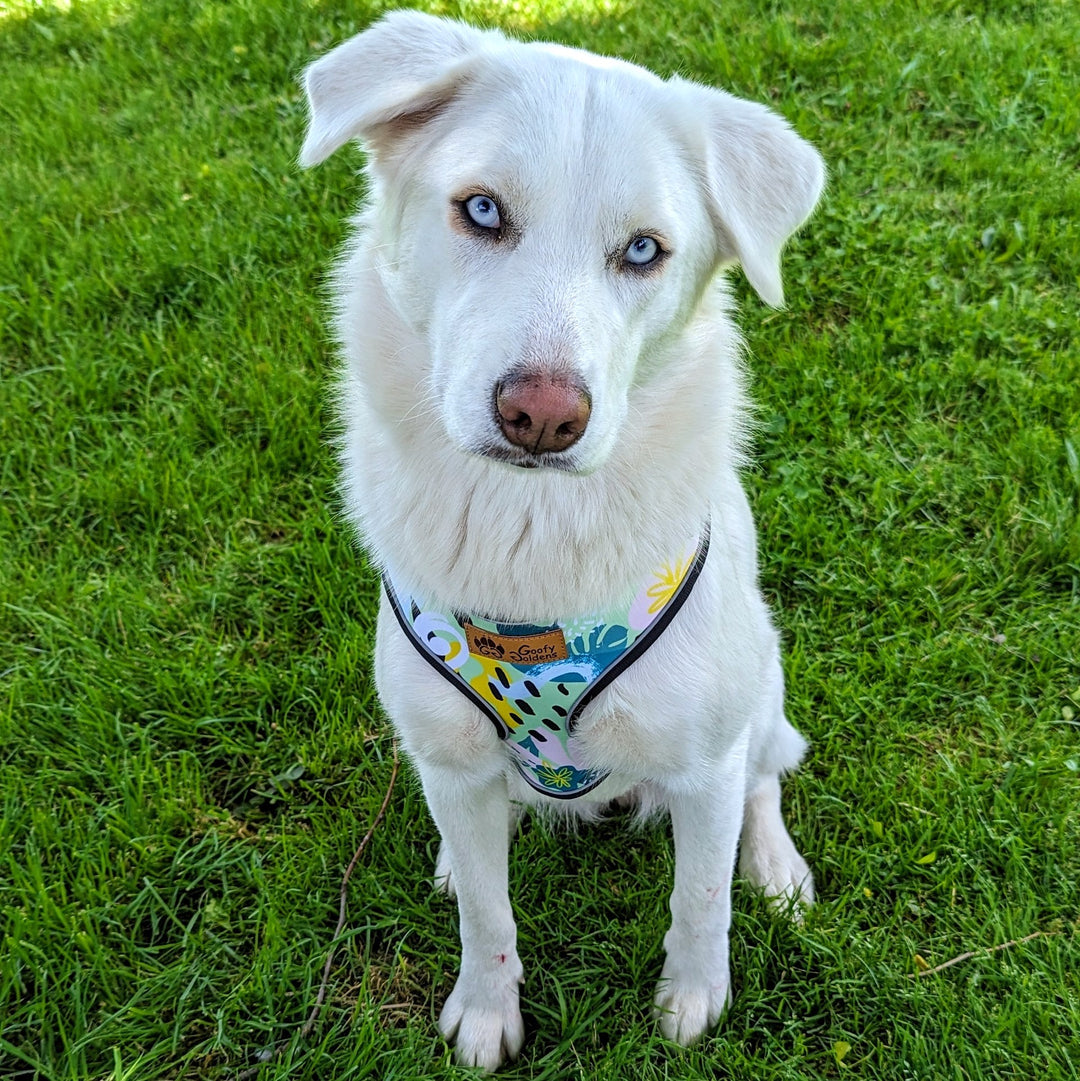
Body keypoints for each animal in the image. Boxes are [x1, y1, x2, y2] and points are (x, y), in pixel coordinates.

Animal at [300, 10, 821, 1072]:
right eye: (482, 210)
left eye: (644, 250)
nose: (542, 416)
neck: (529, 542)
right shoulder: (450, 757)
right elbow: (488, 914)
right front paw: (486, 1009)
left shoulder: (704, 765)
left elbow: (700, 898)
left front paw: (692, 1003)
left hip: (762, 679)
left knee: (766, 775)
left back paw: (777, 868)